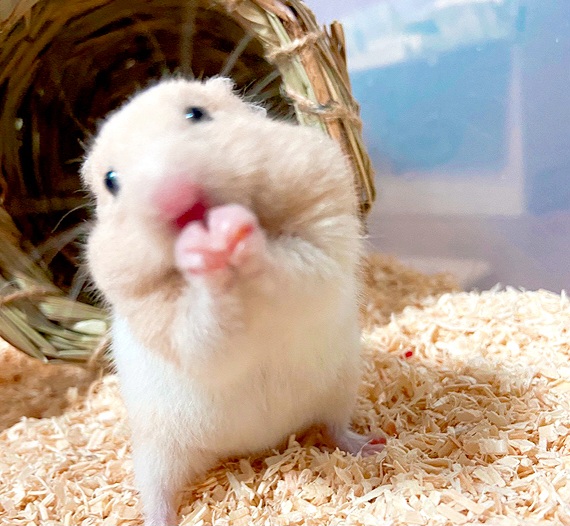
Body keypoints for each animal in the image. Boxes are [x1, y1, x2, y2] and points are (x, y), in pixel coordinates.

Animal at [81, 77, 384, 526]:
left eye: (196, 114)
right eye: (111, 181)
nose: (175, 198)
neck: (238, 282)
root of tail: (256, 444)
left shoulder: (320, 248)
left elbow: (290, 263)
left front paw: (234, 229)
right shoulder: (165, 322)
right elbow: (203, 329)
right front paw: (198, 252)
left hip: (340, 390)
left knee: (335, 428)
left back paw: (373, 446)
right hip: (157, 448)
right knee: (157, 491)